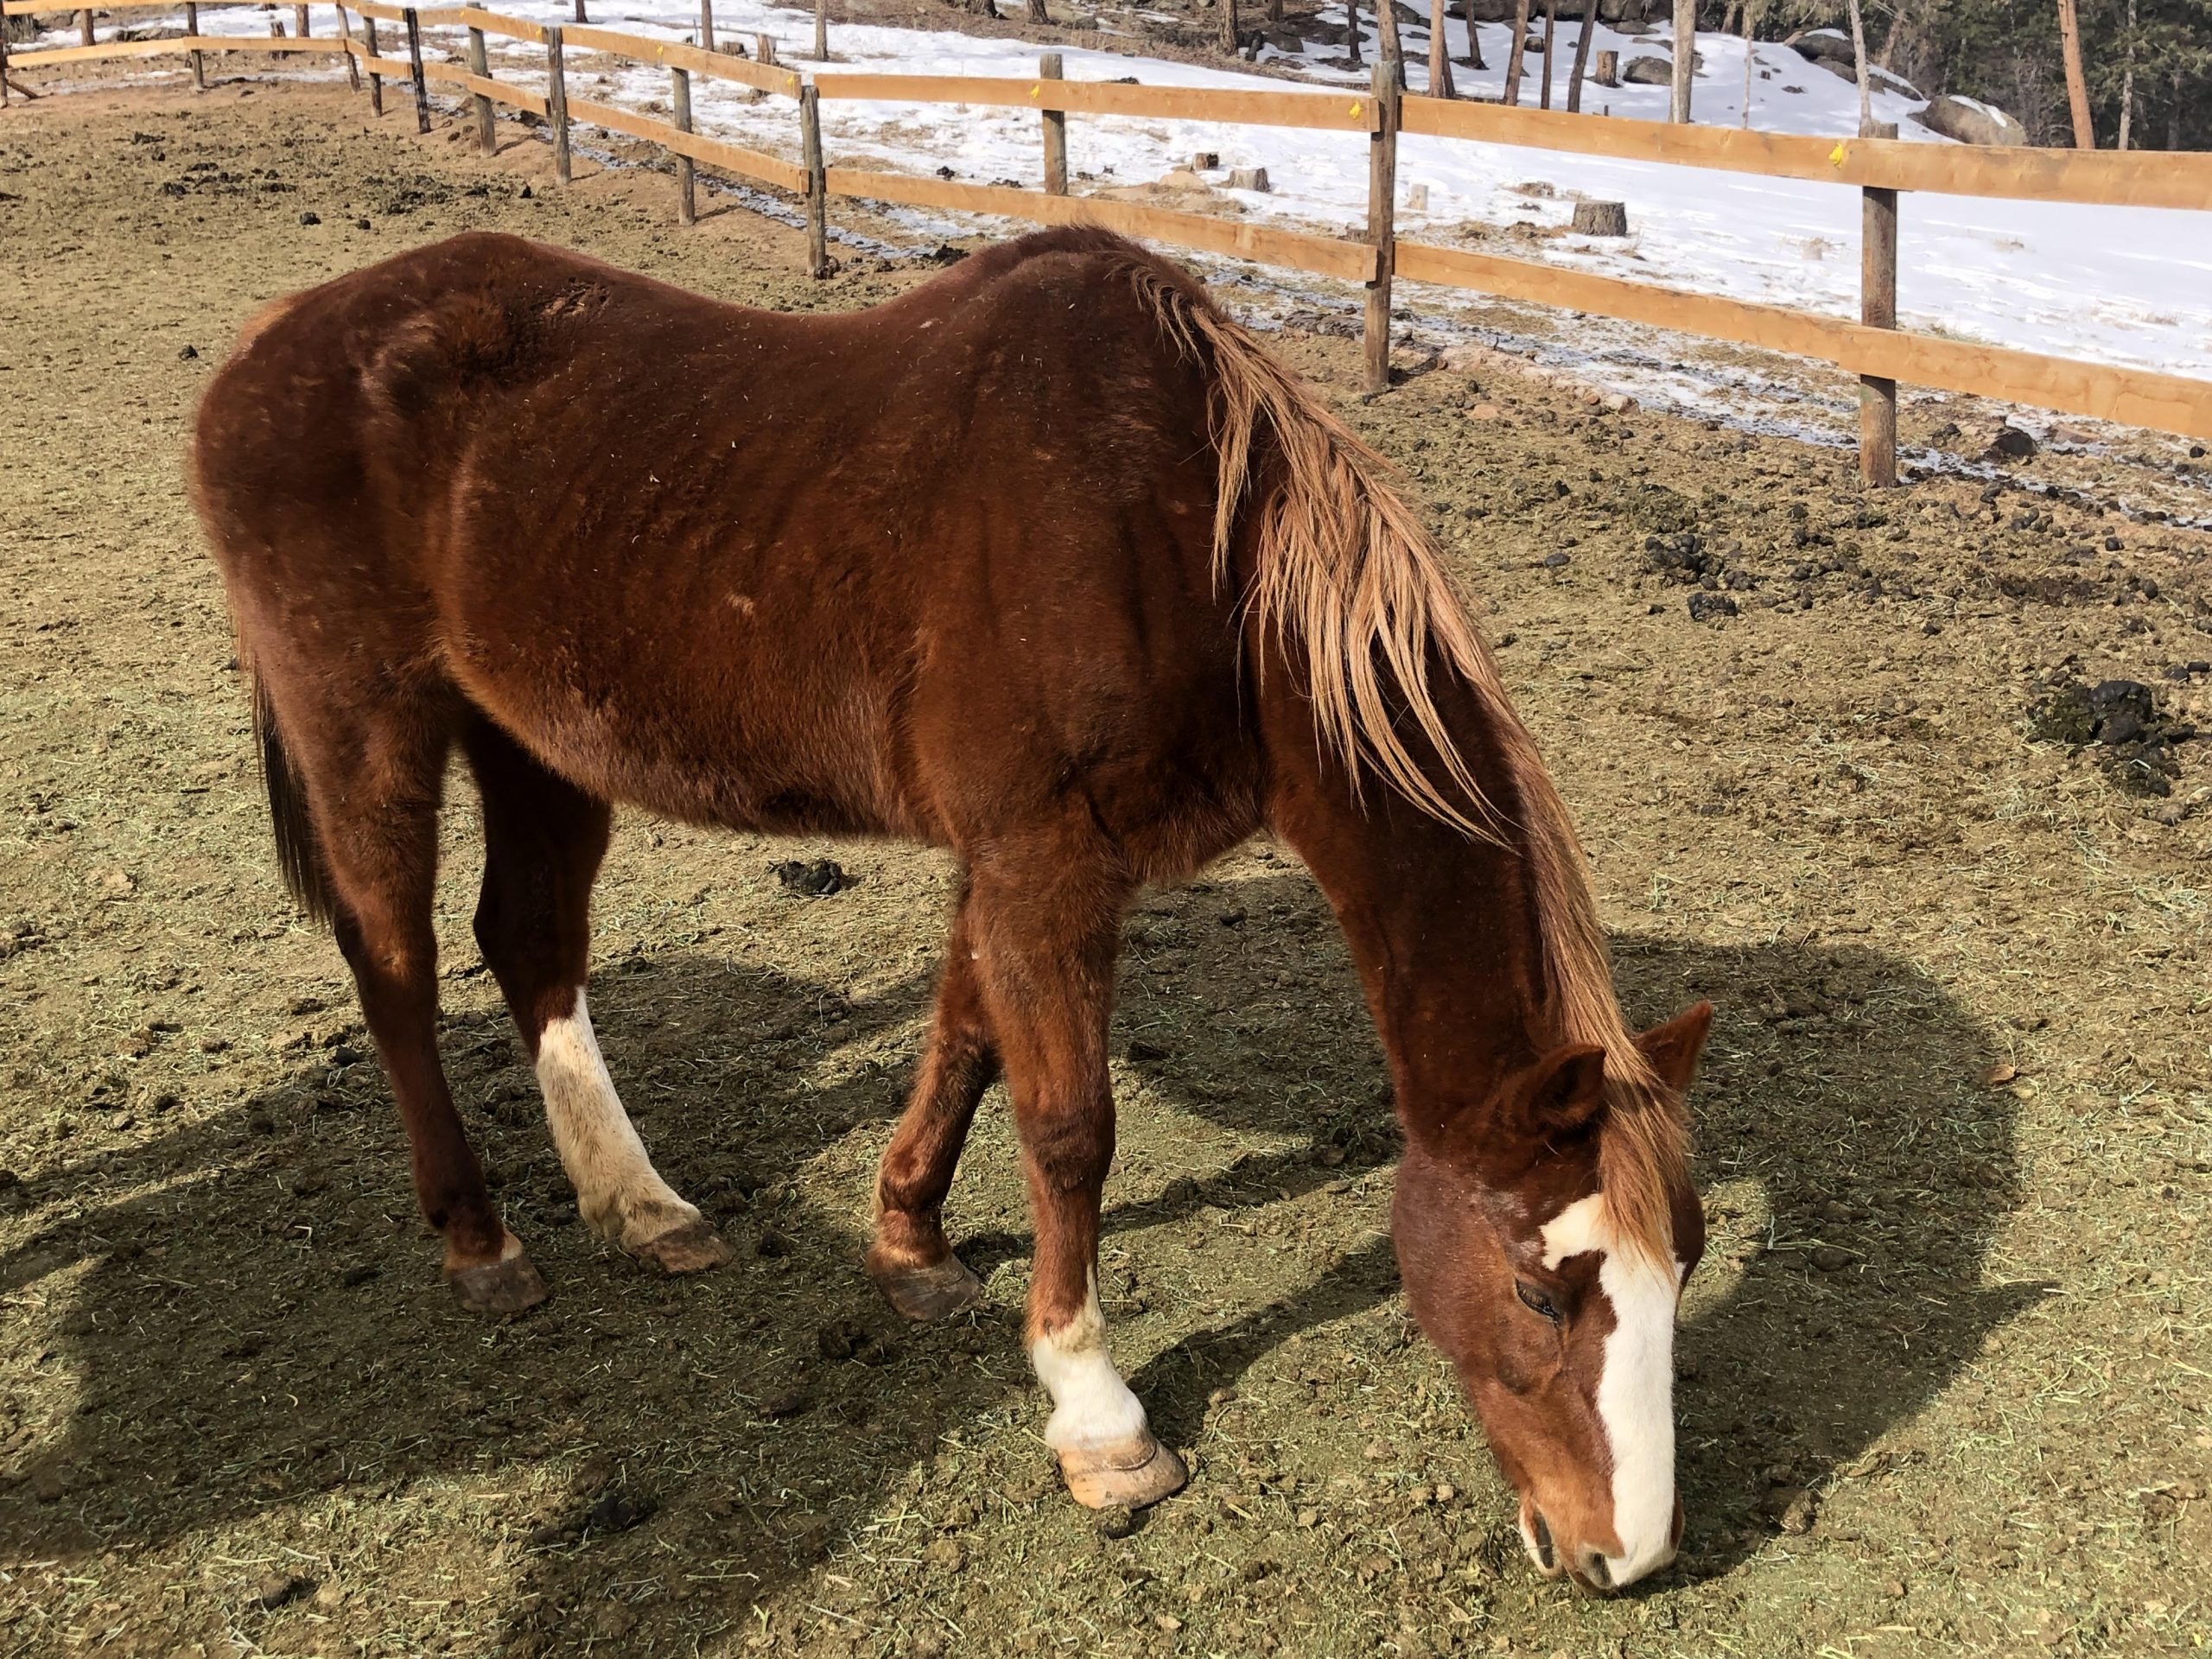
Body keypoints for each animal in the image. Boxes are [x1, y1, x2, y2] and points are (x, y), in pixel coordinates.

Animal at [194, 234, 1707, 1601]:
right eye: (1540, 1292)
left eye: (1684, 1263)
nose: (1624, 1556)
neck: (1185, 544)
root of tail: (269, 345)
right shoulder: (1041, 855)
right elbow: (1069, 1127)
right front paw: (1097, 1416)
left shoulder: (1027, 860)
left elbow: (968, 1040)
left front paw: (910, 1246)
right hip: (368, 725)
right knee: (396, 967)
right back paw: (482, 1241)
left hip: (535, 738)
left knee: (532, 944)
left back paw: (640, 1205)